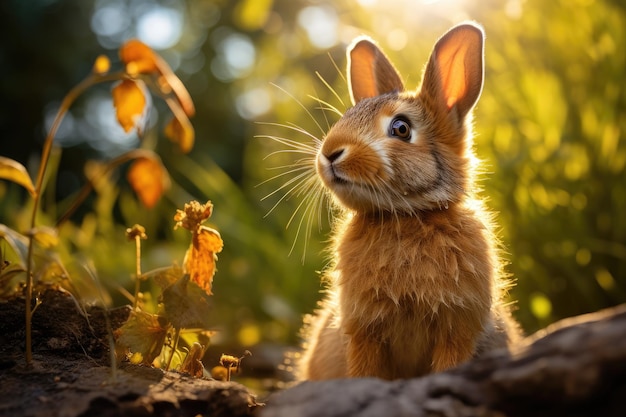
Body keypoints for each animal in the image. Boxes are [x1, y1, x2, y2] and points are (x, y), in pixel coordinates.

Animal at [294, 22, 520, 380]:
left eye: (401, 128)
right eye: (346, 116)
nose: (329, 153)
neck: (406, 216)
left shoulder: (457, 329)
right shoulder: (364, 333)